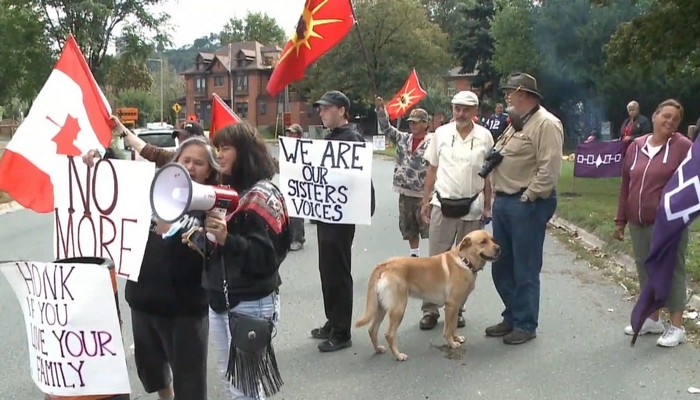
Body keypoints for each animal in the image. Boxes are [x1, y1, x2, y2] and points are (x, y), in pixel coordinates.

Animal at [356, 230, 498, 360]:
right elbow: (448, 329)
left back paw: (378, 349)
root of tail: (384, 265)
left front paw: (456, 338)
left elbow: (453, 326)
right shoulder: (451, 305)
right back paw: (398, 355)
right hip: (398, 308)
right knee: (389, 334)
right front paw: (451, 343)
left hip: (381, 307)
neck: (465, 261)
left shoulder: (455, 306)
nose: (498, 248)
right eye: (483, 242)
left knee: (372, 329)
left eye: (492, 239)